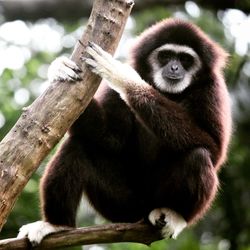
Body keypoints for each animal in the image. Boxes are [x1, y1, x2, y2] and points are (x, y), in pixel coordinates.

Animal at [17, 18, 232, 245]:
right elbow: (112, 138)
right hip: (123, 205)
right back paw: (56, 225)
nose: (174, 67)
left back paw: (176, 215)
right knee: (77, 144)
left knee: (199, 154)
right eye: (165, 56)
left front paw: (125, 79)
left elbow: (213, 147)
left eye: (185, 59)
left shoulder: (212, 89)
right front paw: (59, 68)